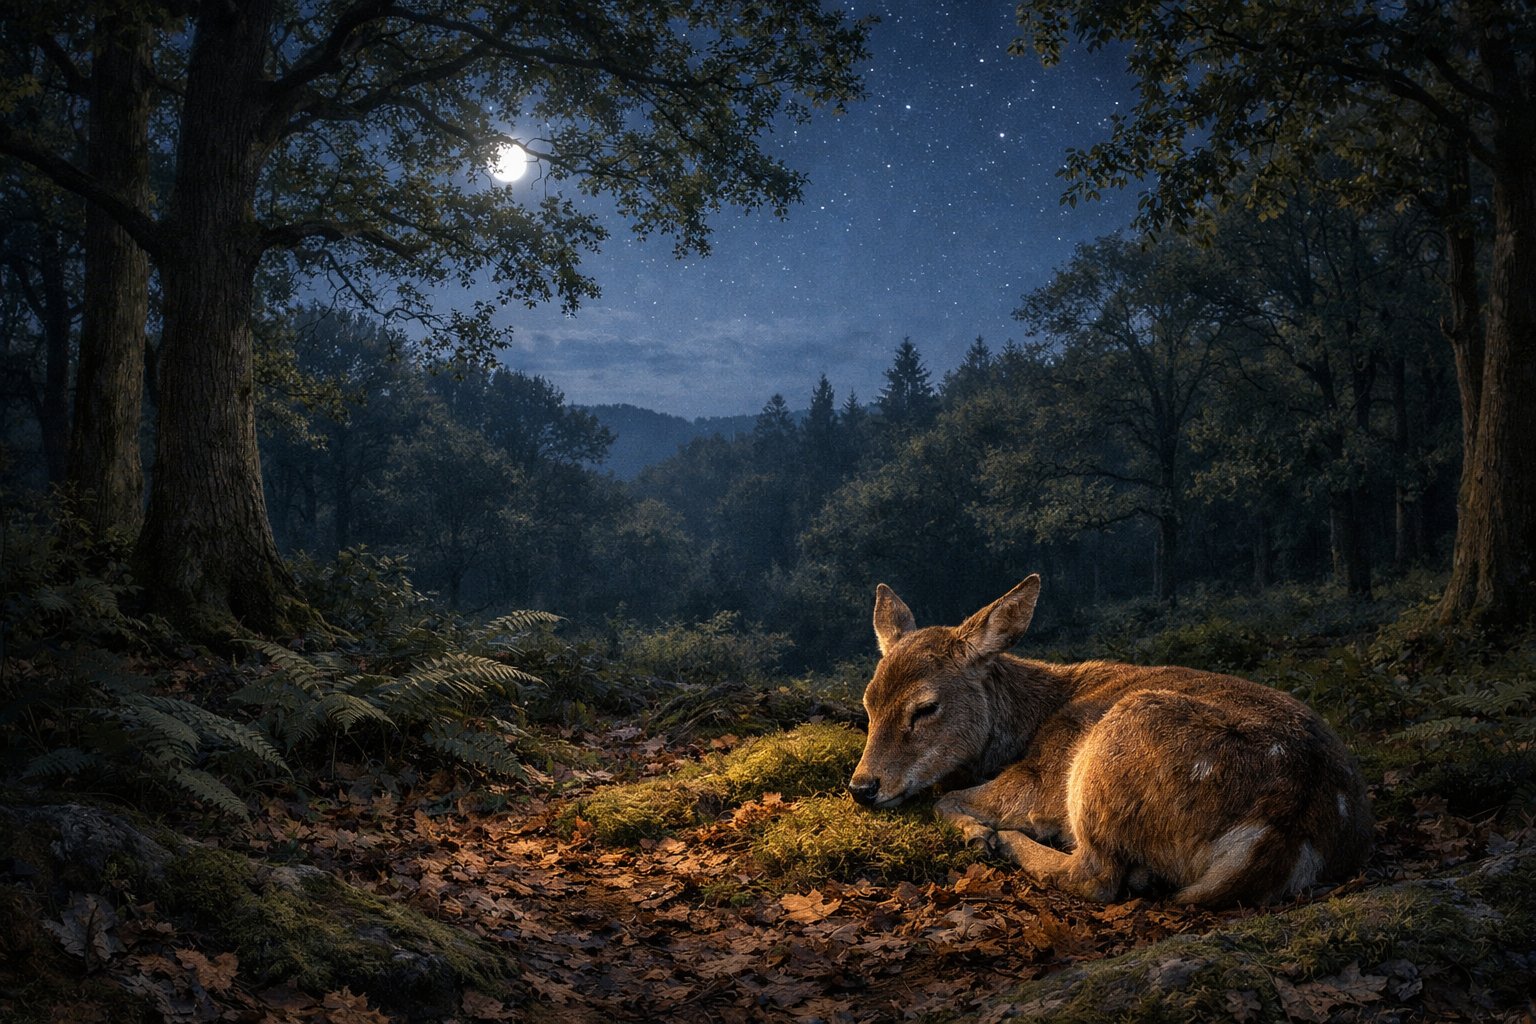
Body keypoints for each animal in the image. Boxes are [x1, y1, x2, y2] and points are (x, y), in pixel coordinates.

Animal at [847, 575, 1373, 906]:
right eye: (868, 702)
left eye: (925, 707)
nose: (862, 786)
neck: (1023, 725)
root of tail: (1286, 826)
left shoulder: (1042, 776)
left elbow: (946, 800)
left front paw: (979, 833)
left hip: (1109, 751)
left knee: (1094, 876)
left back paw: (1012, 842)